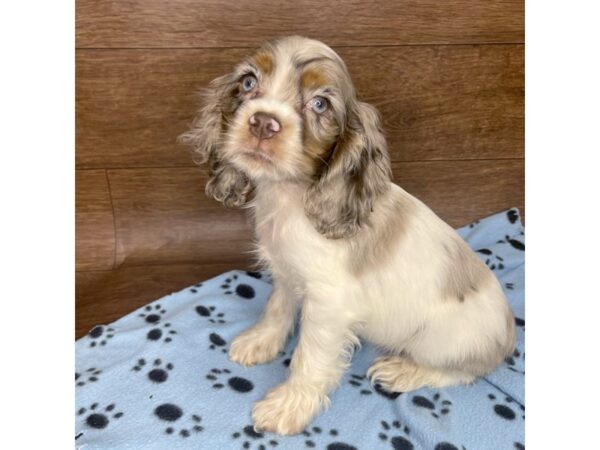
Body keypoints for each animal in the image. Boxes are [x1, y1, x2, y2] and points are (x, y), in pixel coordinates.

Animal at [179, 35, 516, 436]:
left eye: (319, 103)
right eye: (248, 82)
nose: (263, 122)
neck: (290, 196)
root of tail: (509, 334)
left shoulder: (329, 305)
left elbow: (309, 357)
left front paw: (288, 406)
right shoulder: (287, 271)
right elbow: (277, 307)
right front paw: (261, 341)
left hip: (442, 341)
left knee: (465, 372)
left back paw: (403, 370)